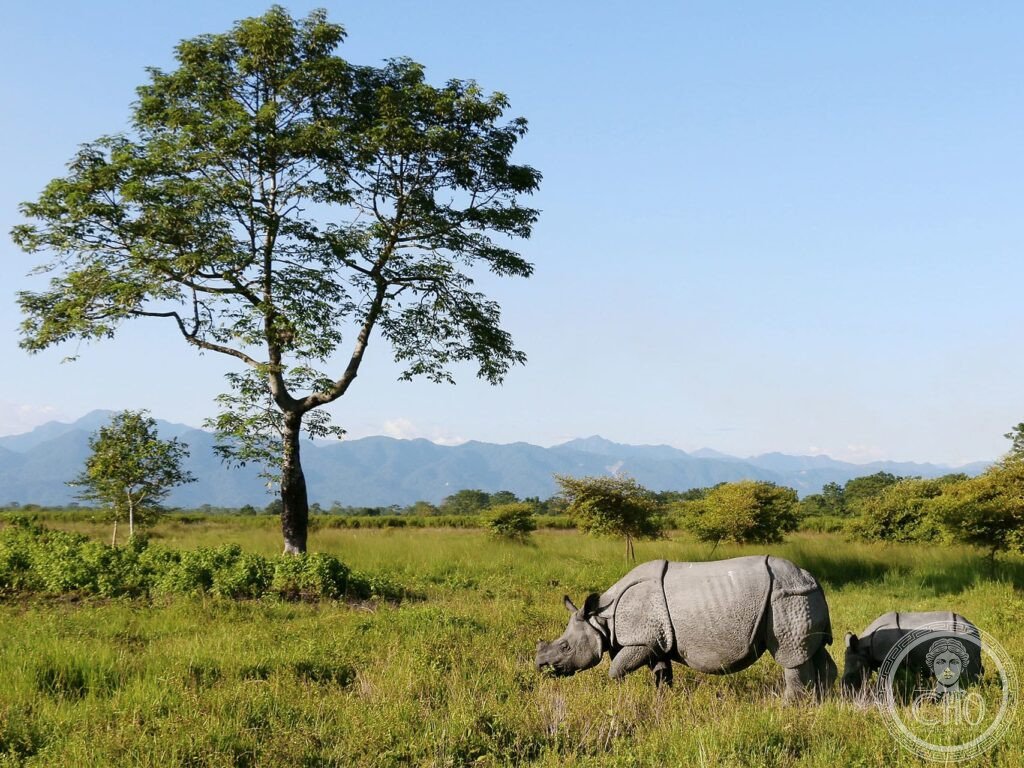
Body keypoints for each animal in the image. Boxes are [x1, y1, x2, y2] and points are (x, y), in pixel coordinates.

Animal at [535, 556, 836, 701]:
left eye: (565, 646)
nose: (540, 665)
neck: (601, 619)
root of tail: (811, 578)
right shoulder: (655, 642)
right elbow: (661, 673)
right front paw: (662, 701)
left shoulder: (640, 641)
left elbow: (616, 669)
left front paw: (618, 693)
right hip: (801, 597)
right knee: (812, 650)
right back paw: (825, 701)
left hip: (786, 598)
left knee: (790, 656)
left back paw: (789, 706)